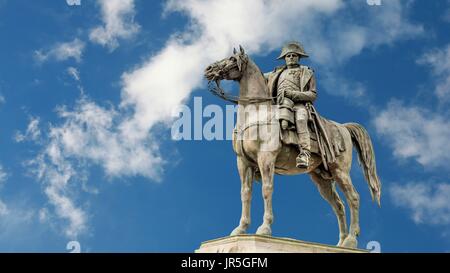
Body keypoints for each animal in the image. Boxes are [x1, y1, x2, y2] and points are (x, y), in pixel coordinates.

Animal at [206, 46, 382, 249]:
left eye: (232, 60)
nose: (209, 69)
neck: (256, 115)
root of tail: (344, 127)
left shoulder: (266, 159)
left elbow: (267, 189)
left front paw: (264, 228)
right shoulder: (243, 162)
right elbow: (245, 194)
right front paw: (240, 229)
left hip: (340, 172)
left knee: (353, 198)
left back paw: (351, 240)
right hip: (322, 178)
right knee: (338, 205)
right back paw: (340, 242)